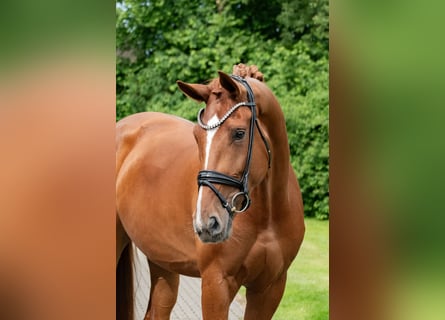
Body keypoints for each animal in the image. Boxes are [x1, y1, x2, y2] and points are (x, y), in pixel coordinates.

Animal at [116, 66, 306, 318]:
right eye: (197, 136)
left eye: (239, 133)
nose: (207, 223)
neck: (268, 216)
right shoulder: (216, 283)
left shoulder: (270, 288)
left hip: (163, 263)